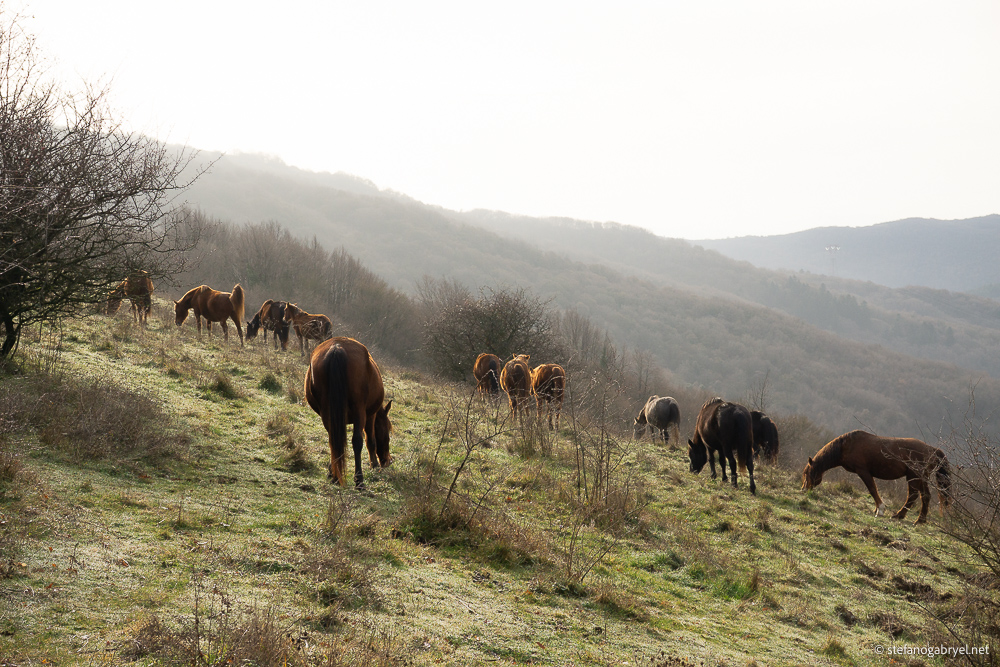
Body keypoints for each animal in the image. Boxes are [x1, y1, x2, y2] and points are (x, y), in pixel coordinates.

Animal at [304, 336, 393, 488]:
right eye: (387, 431)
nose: (387, 461)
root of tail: (336, 348)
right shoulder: (370, 416)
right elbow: (371, 440)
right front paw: (373, 464)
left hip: (328, 412)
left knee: (333, 441)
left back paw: (335, 476)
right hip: (359, 411)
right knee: (357, 441)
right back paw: (359, 480)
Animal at [802, 430, 952, 524]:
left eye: (806, 473)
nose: (803, 489)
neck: (846, 445)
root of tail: (932, 449)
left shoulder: (863, 471)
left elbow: (872, 489)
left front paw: (880, 509)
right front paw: (876, 508)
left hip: (914, 476)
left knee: (913, 495)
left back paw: (899, 515)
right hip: (921, 478)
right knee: (925, 496)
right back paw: (920, 520)